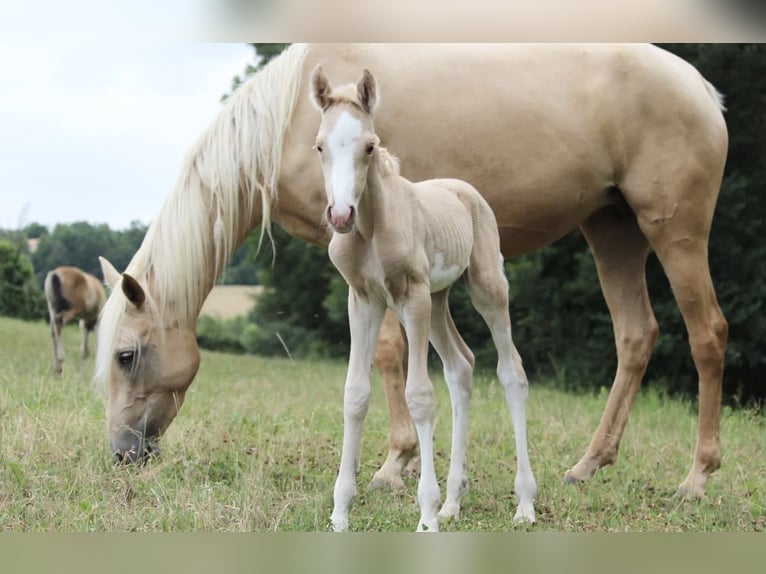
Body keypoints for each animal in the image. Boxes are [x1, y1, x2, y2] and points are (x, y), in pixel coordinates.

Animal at [312, 67, 540, 536]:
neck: (373, 228)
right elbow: (355, 395)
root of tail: (465, 189)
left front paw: (426, 516)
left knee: (511, 372)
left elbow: (419, 395)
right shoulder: (363, 301)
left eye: (370, 145)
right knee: (462, 366)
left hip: (485, 288)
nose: (340, 216)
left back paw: (524, 503)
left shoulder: (410, 296)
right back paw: (453, 502)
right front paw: (340, 513)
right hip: (437, 302)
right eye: (320, 145)